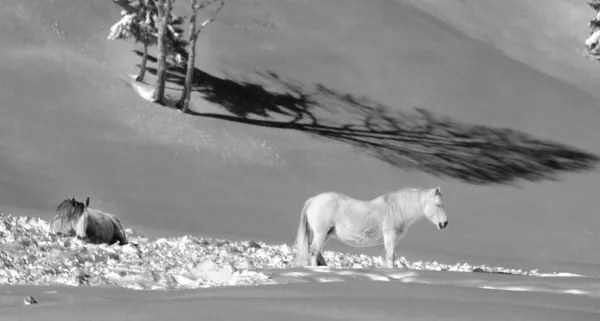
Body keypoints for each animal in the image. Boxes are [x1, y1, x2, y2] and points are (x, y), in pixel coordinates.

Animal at [292, 185, 448, 268]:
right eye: (437, 204)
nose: (444, 223)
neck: (397, 209)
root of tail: (313, 200)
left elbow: (386, 256)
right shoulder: (390, 236)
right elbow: (391, 256)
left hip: (326, 234)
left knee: (317, 252)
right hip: (321, 233)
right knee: (313, 251)